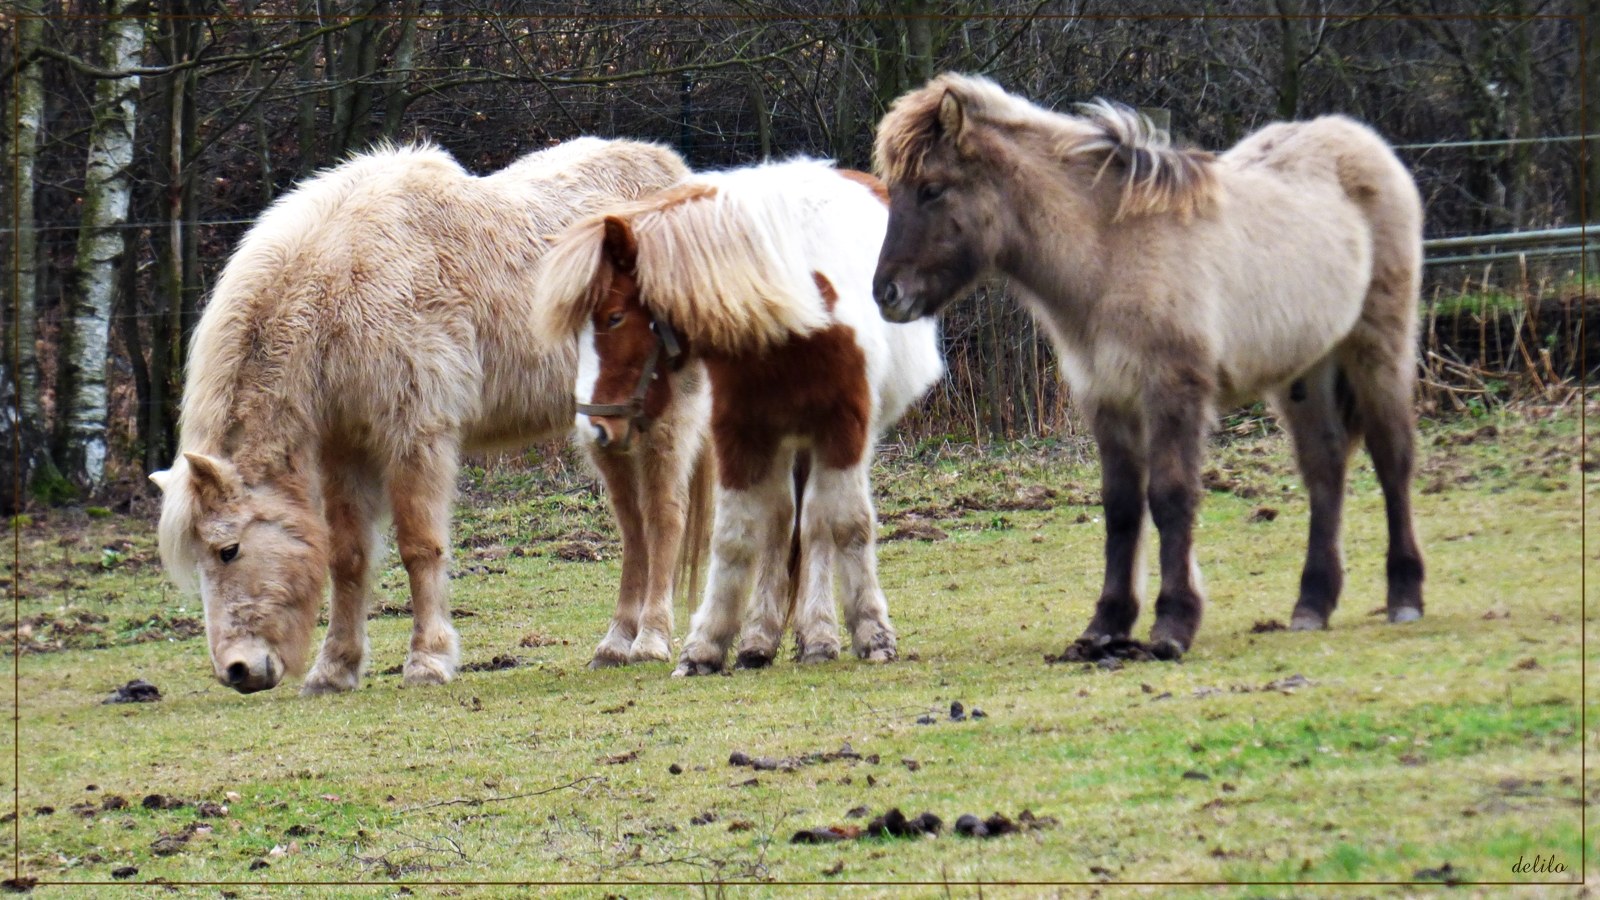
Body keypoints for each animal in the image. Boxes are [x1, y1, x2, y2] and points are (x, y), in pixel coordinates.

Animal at [152, 138, 697, 695]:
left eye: (229, 550)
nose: (236, 671)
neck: (340, 289)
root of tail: (676, 175)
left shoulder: (416, 437)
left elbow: (419, 547)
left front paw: (428, 659)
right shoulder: (344, 449)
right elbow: (347, 558)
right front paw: (335, 668)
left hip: (664, 416)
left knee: (664, 515)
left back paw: (651, 639)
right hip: (605, 430)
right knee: (633, 527)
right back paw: (616, 644)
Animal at [537, 159, 940, 672]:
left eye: (613, 316)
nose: (594, 426)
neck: (798, 308)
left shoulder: (844, 427)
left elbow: (847, 525)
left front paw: (872, 634)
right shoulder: (739, 432)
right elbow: (735, 534)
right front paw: (707, 645)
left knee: (816, 524)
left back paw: (818, 636)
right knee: (784, 521)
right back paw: (762, 637)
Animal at [876, 71, 1427, 659]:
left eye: (932, 189)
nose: (886, 293)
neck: (1111, 252)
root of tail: (1363, 142)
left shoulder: (1172, 390)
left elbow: (1170, 497)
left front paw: (1173, 625)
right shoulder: (1106, 397)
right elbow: (1121, 508)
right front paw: (1106, 626)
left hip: (1378, 348)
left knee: (1392, 457)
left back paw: (1404, 596)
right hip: (1307, 369)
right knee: (1324, 468)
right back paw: (1311, 606)